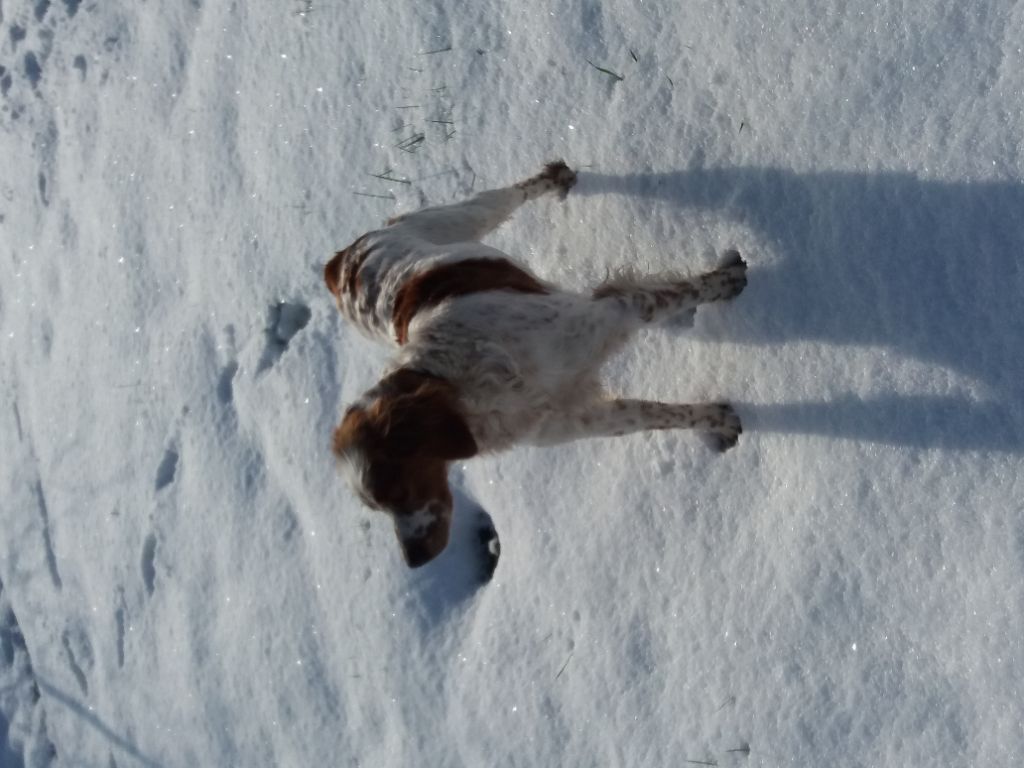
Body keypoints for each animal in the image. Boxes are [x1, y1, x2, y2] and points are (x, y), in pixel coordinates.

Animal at [325, 162, 745, 569]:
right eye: (377, 507)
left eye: (398, 489)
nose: (415, 561)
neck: (468, 380)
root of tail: (338, 261)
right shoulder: (578, 418)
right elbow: (652, 416)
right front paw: (718, 421)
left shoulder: (613, 311)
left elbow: (675, 295)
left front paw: (726, 280)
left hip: (461, 217)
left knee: (512, 194)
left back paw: (556, 177)